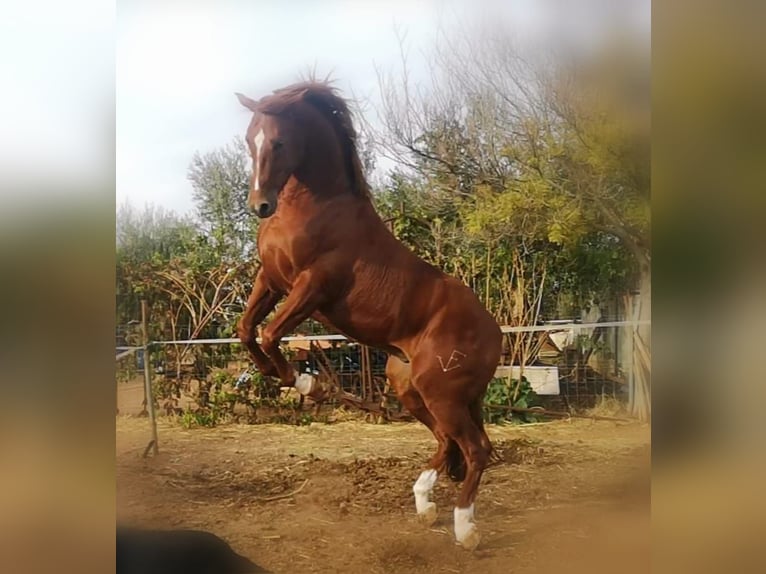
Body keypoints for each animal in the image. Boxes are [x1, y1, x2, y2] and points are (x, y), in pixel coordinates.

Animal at [237, 79, 508, 552]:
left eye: (279, 141)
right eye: (250, 140)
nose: (260, 205)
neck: (316, 208)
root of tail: (492, 329)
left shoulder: (312, 286)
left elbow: (270, 333)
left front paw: (305, 383)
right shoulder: (270, 280)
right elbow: (247, 329)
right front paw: (282, 376)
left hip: (442, 393)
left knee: (475, 449)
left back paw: (465, 529)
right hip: (413, 390)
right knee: (448, 441)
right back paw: (425, 505)